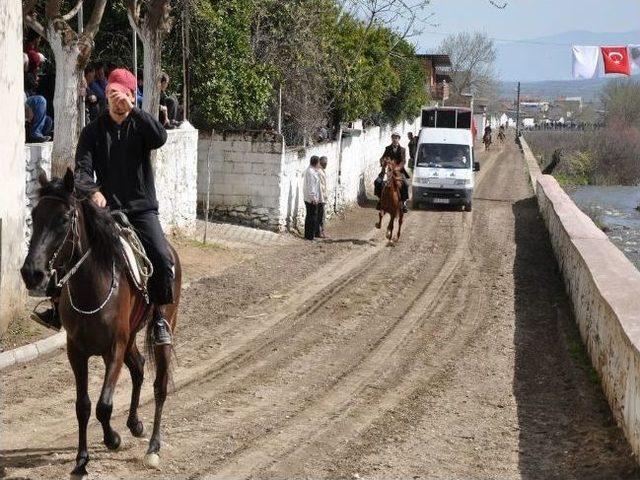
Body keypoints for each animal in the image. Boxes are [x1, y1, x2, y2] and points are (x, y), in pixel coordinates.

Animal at [20, 171, 180, 478]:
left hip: (161, 330)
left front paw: (113, 439)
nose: (31, 273)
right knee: (139, 367)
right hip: (130, 338)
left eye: (65, 218)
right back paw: (134, 424)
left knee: (160, 385)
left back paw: (153, 448)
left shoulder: (114, 348)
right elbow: (83, 406)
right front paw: (81, 460)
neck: (92, 286)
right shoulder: (76, 351)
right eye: (34, 215)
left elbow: (104, 405)